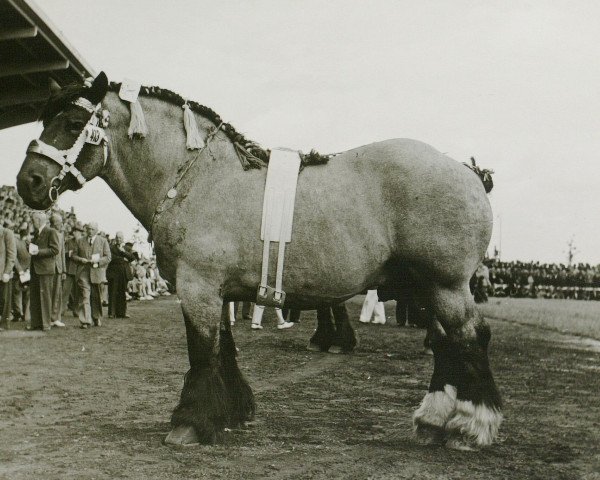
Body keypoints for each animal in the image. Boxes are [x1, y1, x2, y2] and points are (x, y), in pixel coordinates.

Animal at [15, 72, 502, 450]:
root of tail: (467, 170)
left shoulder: (197, 288)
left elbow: (202, 352)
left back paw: (470, 427)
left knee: (470, 339)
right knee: (446, 345)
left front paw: (189, 424)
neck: (195, 179)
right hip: (426, 287)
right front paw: (231, 412)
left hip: (445, 285)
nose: (29, 182)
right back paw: (433, 422)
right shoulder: (217, 291)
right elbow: (224, 349)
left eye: (72, 122)